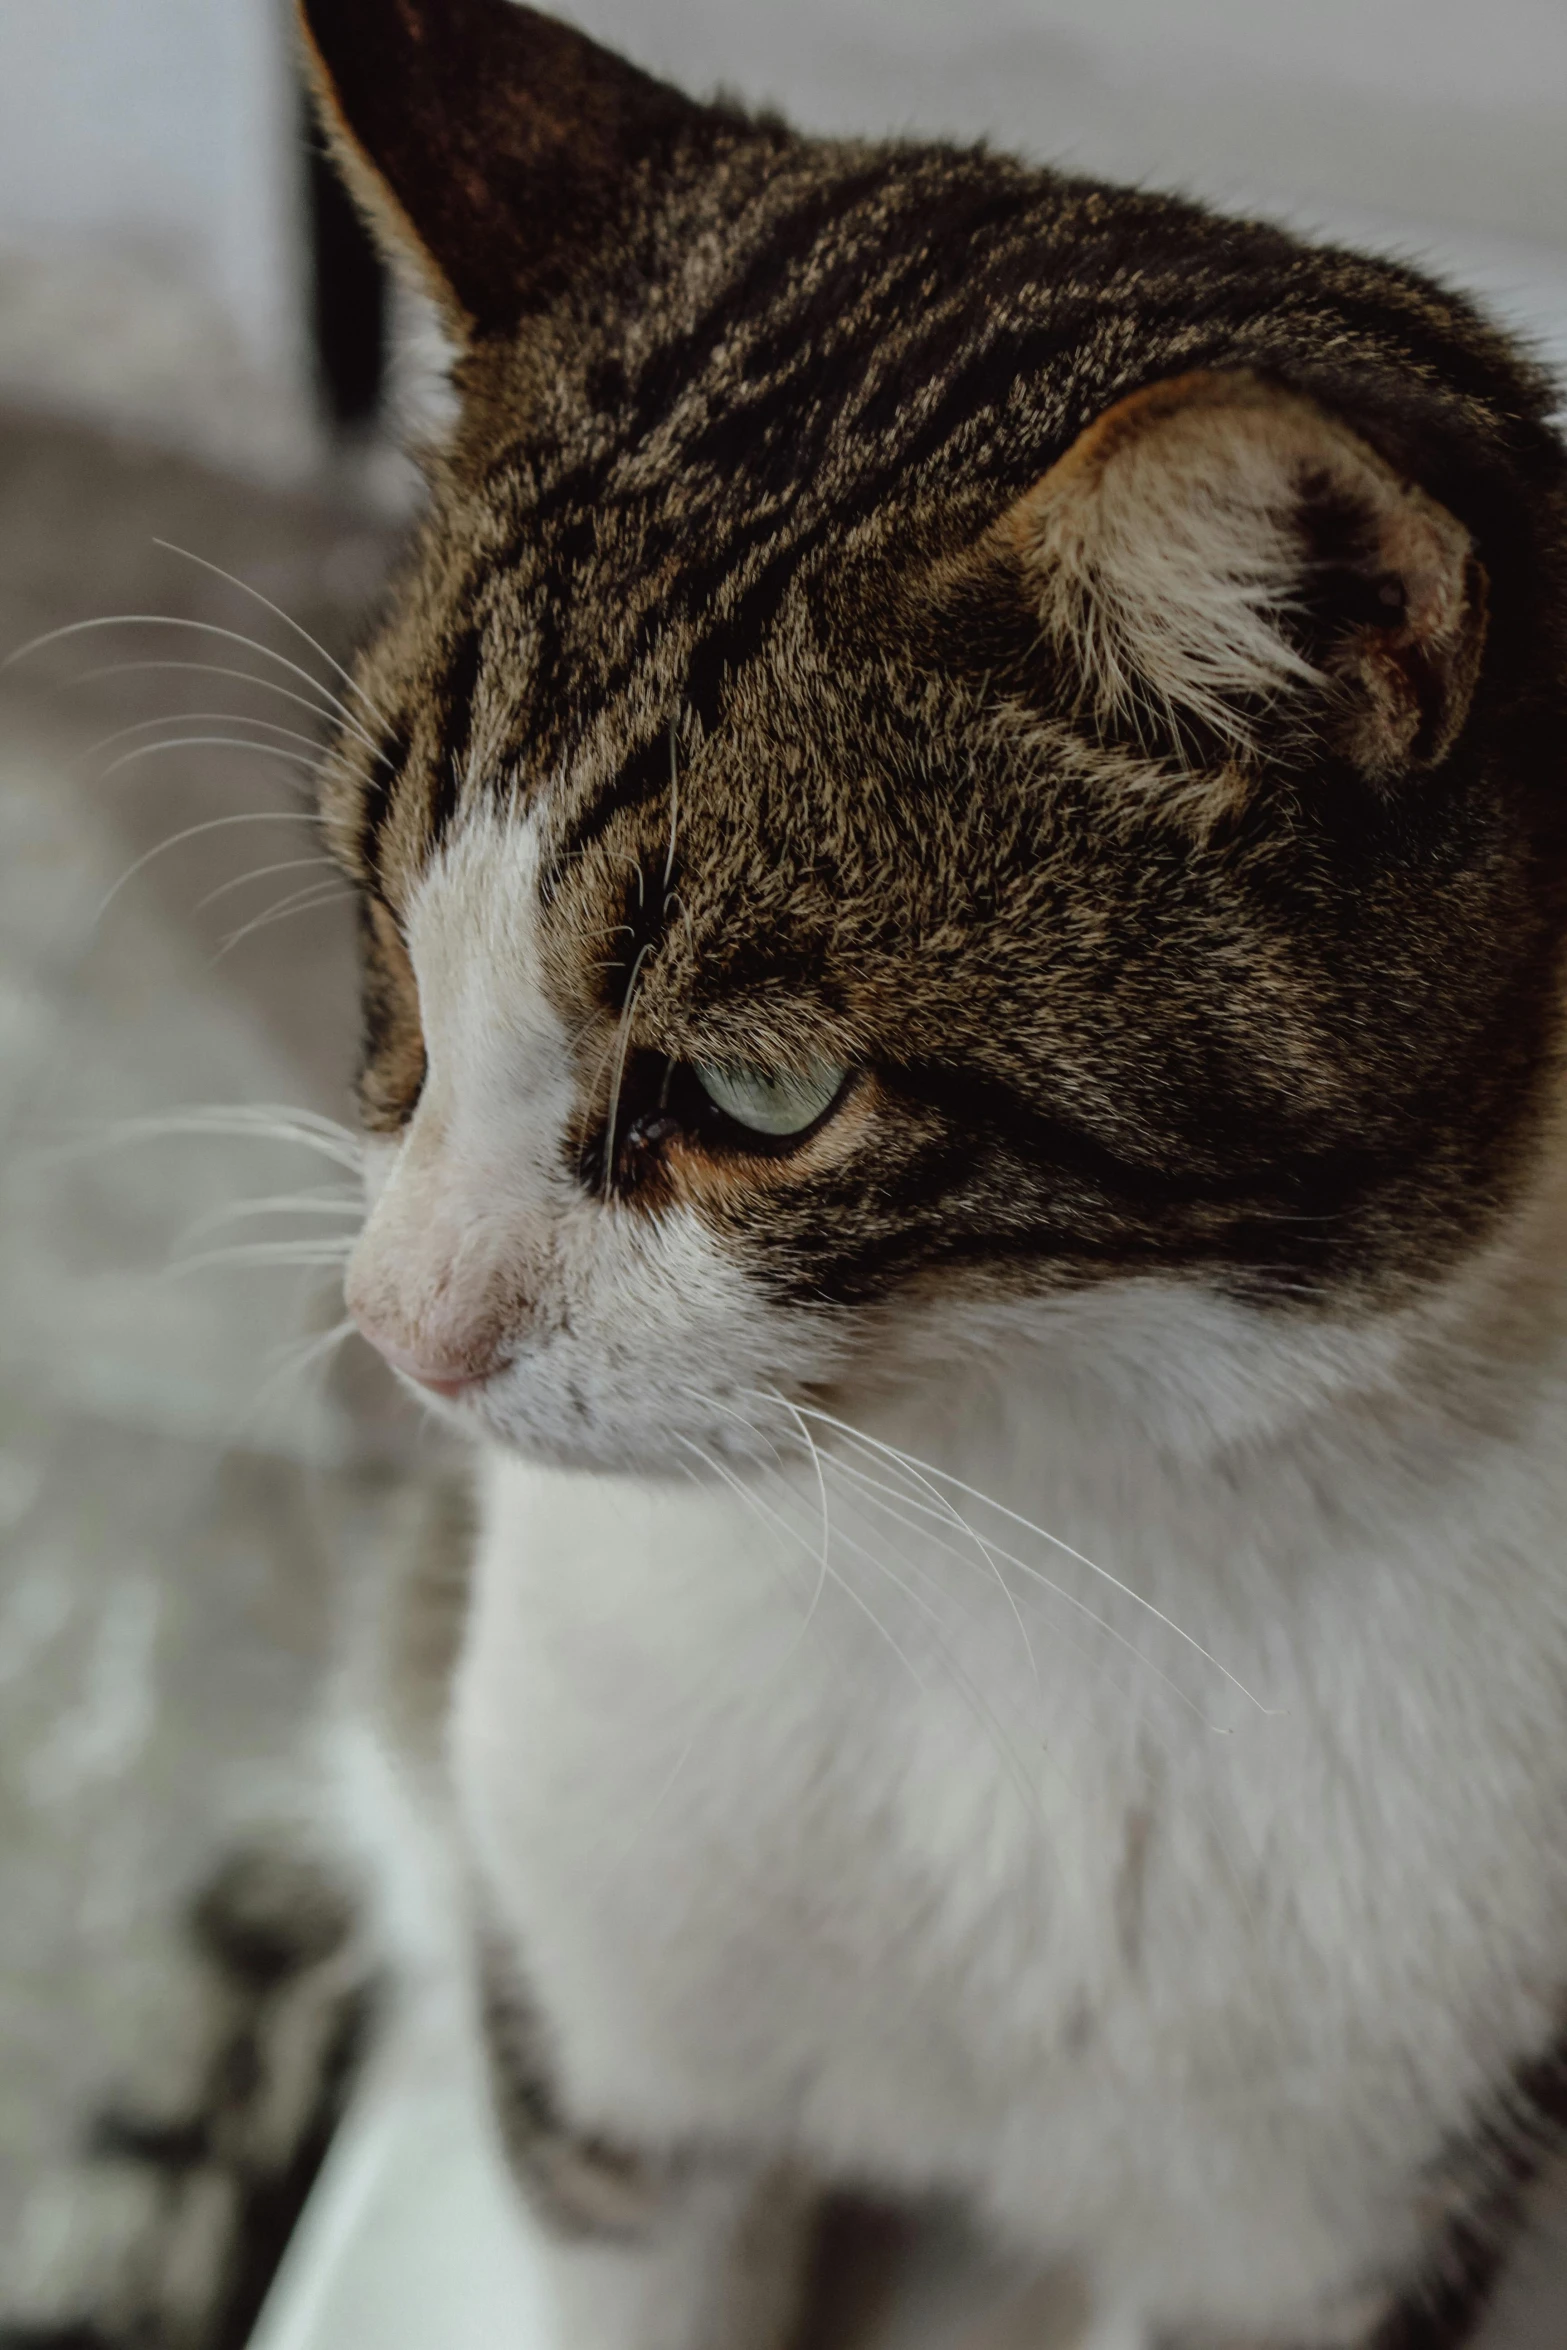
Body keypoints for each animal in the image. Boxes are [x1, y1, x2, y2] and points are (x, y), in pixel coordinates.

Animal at [293, 4, 1567, 2350]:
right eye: (391, 939)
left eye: (761, 1088)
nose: (400, 1333)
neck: (1014, 1551)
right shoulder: (621, 2059)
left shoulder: (1337, 2199)